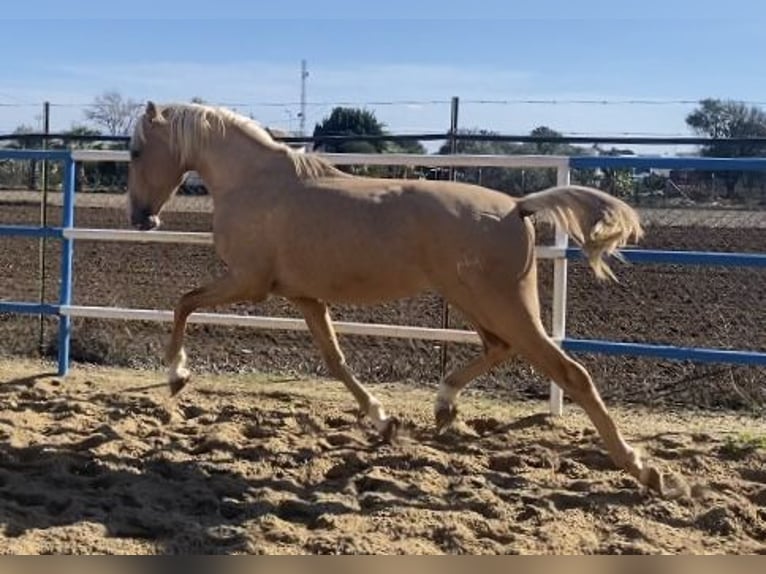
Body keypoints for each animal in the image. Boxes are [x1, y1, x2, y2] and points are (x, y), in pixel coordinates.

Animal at [126, 100, 664, 496]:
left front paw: (176, 375)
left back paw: (645, 470)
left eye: (133, 151)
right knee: (499, 348)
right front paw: (384, 422)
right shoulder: (304, 298)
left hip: (503, 304)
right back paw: (444, 407)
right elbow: (336, 361)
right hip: (477, 302)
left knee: (570, 373)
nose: (140, 218)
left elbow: (184, 302)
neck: (254, 181)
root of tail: (518, 206)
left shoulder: (247, 281)